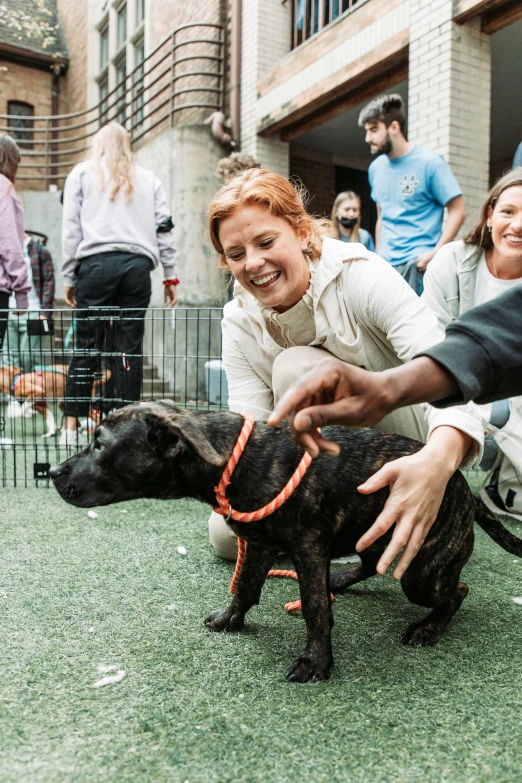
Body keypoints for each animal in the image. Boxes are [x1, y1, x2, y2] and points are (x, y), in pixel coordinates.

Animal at [49, 402, 520, 684]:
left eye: (99, 444)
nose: (51, 472)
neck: (235, 458)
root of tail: (463, 488)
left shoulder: (308, 549)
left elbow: (314, 609)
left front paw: (316, 662)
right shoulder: (258, 545)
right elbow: (245, 586)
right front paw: (230, 618)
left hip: (422, 573)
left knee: (457, 590)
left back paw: (428, 627)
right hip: (376, 531)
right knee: (371, 563)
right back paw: (341, 578)